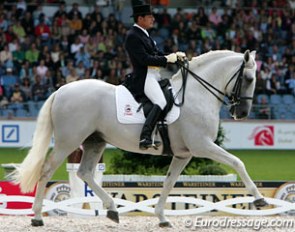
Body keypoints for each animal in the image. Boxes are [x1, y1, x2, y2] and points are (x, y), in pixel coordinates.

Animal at [11, 49, 268, 227]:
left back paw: (112, 210)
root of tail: (61, 90)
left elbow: (168, 182)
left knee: (85, 173)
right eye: (248, 79)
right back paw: (37, 217)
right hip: (69, 141)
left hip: (95, 141)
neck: (196, 94)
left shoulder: (184, 154)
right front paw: (259, 199)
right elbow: (238, 162)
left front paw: (162, 218)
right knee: (46, 170)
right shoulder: (202, 145)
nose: (241, 114)